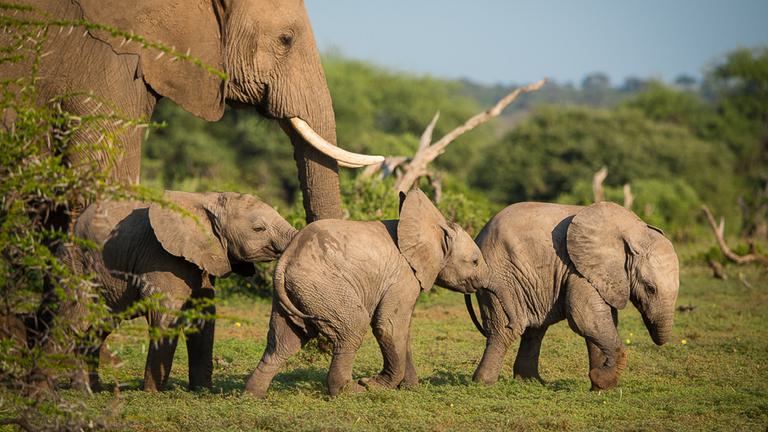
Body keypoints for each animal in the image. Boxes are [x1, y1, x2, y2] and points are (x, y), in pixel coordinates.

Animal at [50, 191, 297, 392]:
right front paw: (153, 394)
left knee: (97, 326)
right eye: (258, 229)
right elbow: (166, 312)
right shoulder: (160, 256)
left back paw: (89, 390)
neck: (206, 199)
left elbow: (204, 314)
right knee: (74, 321)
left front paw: (202, 392)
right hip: (76, 266)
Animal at [244, 189, 490, 397]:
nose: (480, 284)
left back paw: (252, 396)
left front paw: (410, 388)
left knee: (284, 341)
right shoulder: (403, 277)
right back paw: (351, 391)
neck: (432, 227)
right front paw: (374, 385)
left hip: (295, 292)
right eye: (475, 262)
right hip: (322, 285)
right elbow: (389, 326)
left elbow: (402, 330)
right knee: (353, 326)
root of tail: (285, 259)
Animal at [465, 201, 679, 390]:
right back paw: (485, 383)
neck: (635, 231)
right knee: (505, 331)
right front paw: (601, 381)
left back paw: (532, 382)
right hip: (500, 277)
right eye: (650, 288)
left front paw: (600, 388)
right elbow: (585, 318)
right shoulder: (580, 268)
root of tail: (478, 236)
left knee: (535, 330)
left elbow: (602, 320)